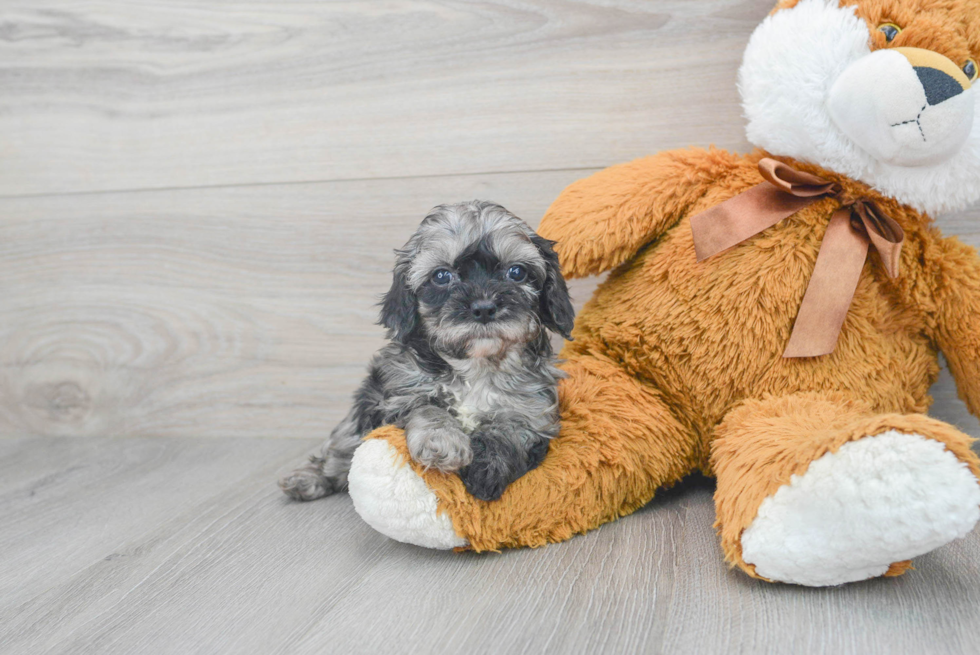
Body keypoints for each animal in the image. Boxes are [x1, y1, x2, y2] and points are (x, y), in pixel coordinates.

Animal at [278, 200, 576, 502]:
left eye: (516, 272)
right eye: (441, 276)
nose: (483, 308)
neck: (476, 367)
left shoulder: (533, 410)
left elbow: (510, 430)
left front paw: (486, 470)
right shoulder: (399, 394)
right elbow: (427, 408)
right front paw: (442, 441)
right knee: (339, 450)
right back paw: (309, 478)